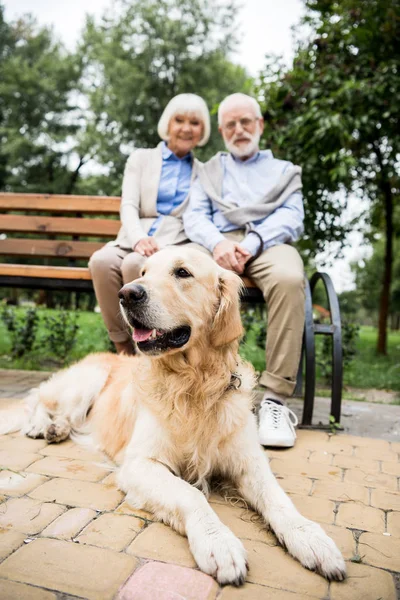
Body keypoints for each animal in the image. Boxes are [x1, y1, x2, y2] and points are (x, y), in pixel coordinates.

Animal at [0, 247, 344, 584]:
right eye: (143, 272)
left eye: (182, 272)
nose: (127, 294)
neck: (194, 384)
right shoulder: (140, 464)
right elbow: (189, 494)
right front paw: (218, 542)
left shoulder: (249, 461)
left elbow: (278, 498)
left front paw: (310, 538)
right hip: (85, 383)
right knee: (38, 400)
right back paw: (43, 426)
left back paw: (55, 428)